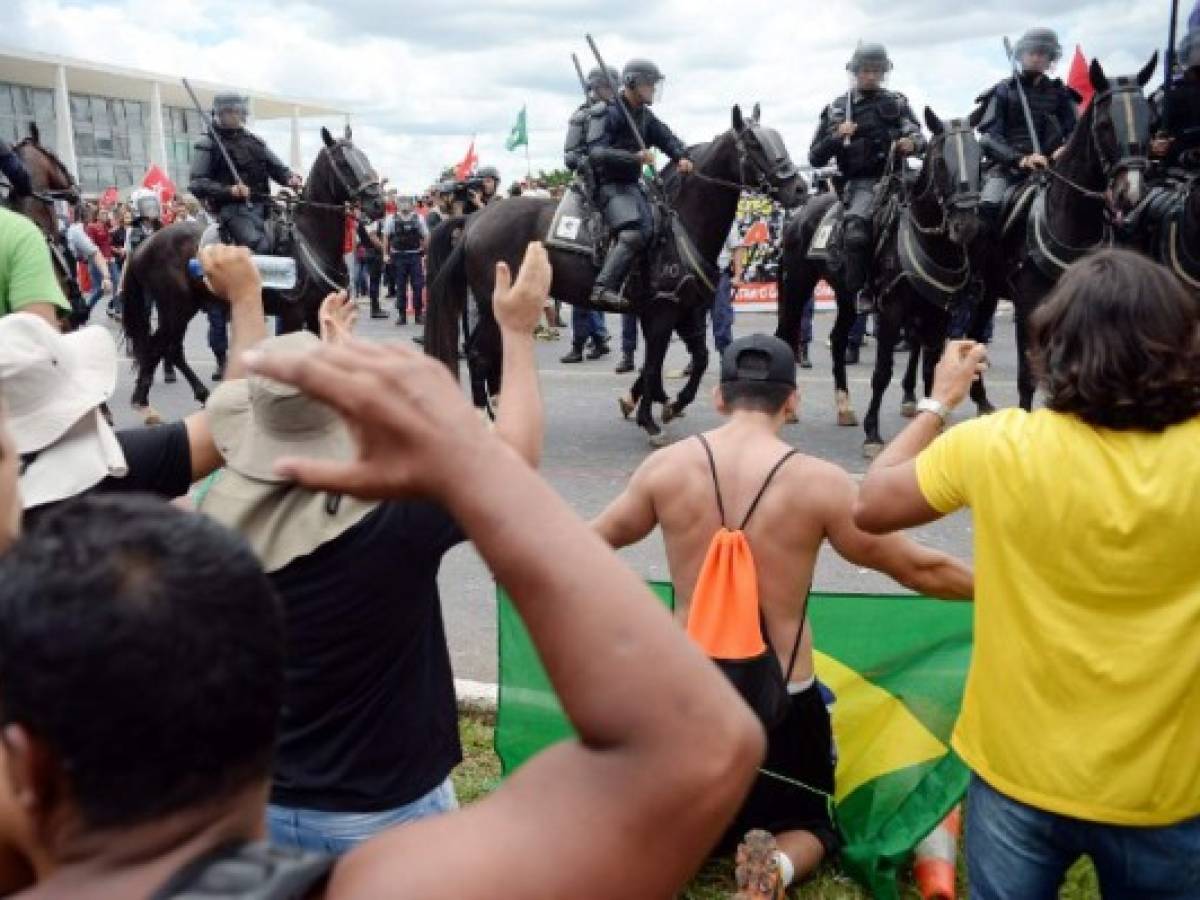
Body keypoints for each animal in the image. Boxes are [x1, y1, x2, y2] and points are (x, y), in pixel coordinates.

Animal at [121, 126, 384, 420]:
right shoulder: (292, 314)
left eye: (364, 156)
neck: (311, 240)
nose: (378, 204)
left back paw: (202, 396)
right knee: (158, 347)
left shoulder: (317, 311)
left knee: (172, 349)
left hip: (184, 308)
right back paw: (143, 403)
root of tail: (145, 244)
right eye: (343, 163)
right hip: (174, 308)